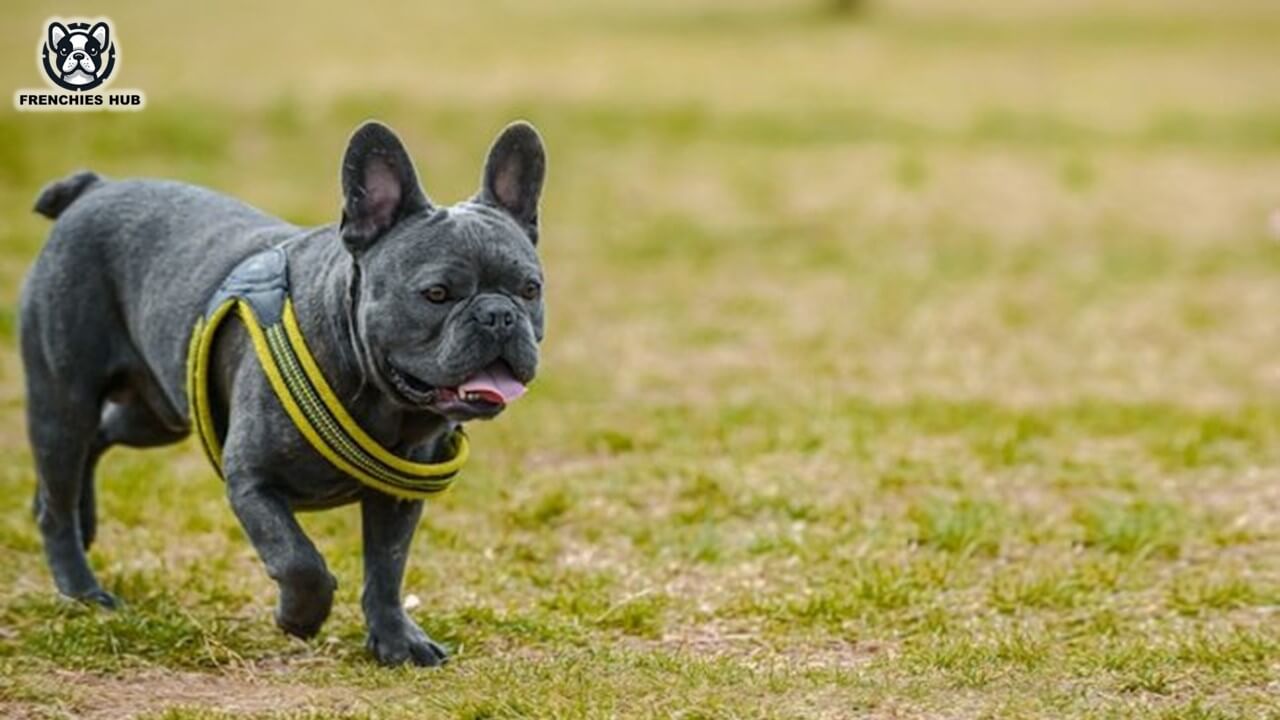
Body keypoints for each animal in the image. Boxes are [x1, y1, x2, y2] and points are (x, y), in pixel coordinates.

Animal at [22, 120, 547, 666]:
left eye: (530, 290)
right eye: (437, 294)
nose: (498, 314)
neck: (382, 402)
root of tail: (93, 189)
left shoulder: (399, 497)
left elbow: (386, 569)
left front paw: (397, 641)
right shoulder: (252, 482)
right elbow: (300, 561)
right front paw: (299, 617)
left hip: (157, 414)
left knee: (98, 440)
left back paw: (82, 521)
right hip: (63, 401)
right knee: (60, 490)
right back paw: (82, 589)